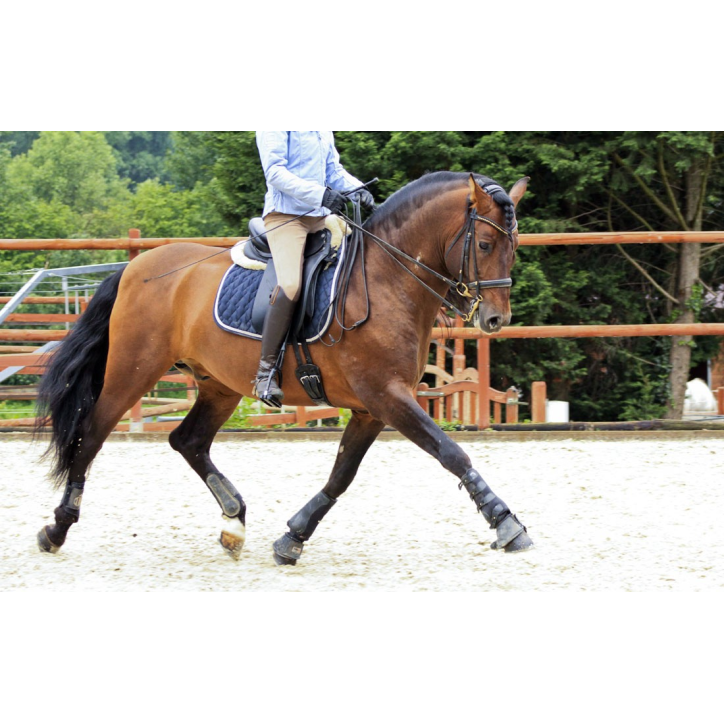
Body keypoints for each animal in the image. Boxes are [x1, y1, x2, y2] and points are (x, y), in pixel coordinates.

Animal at [34, 171, 533, 566]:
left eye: (514, 247)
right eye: (484, 243)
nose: (495, 320)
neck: (387, 280)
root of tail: (136, 265)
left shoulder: (372, 408)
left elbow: (341, 475)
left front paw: (293, 536)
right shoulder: (387, 397)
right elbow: (451, 453)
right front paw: (506, 524)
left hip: (219, 384)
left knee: (188, 440)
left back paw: (234, 523)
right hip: (132, 371)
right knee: (91, 435)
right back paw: (57, 528)